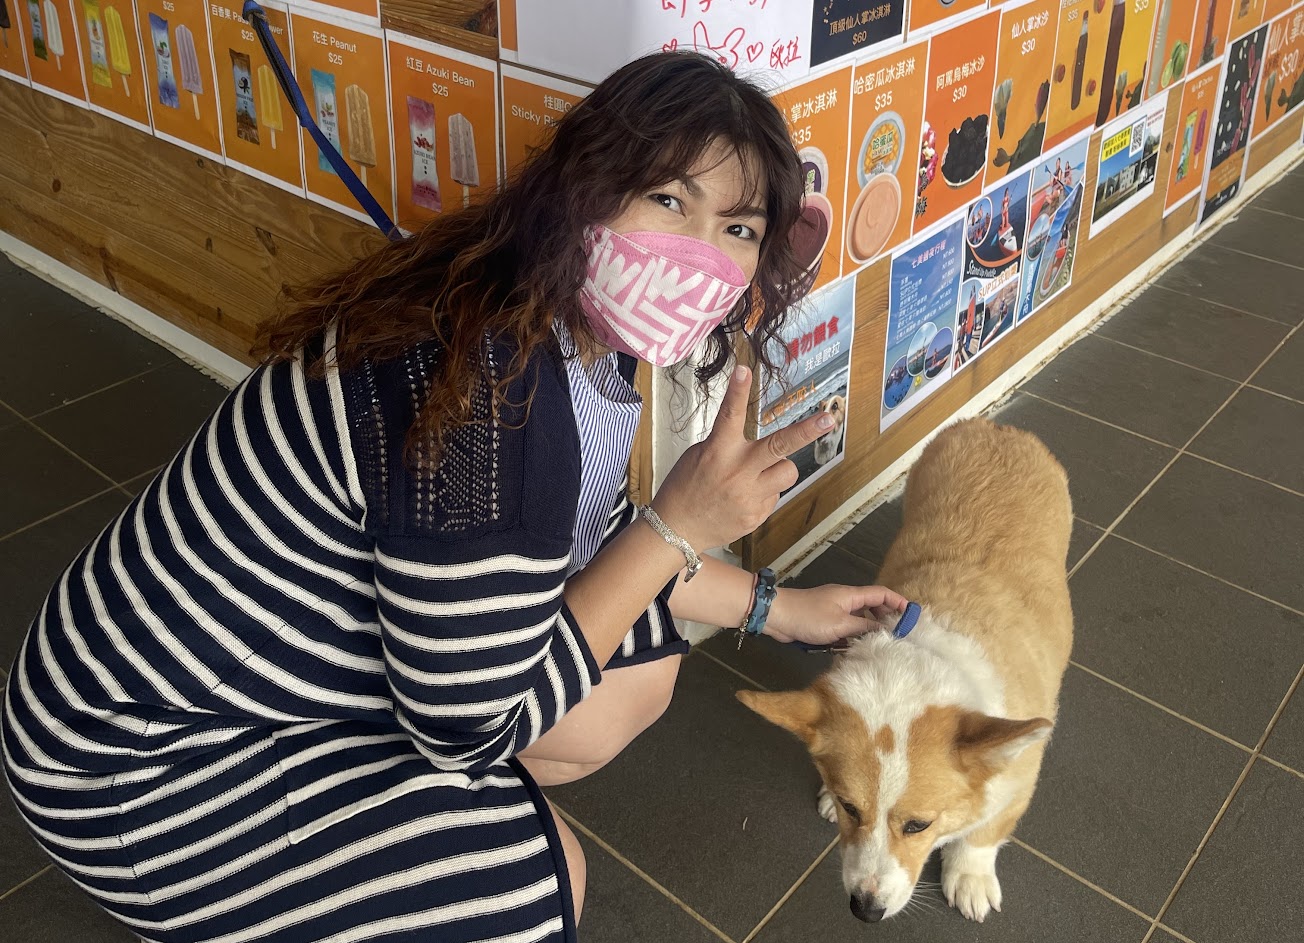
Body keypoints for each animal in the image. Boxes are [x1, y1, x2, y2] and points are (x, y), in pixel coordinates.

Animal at [739, 419, 1073, 924]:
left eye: (919, 825)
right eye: (850, 807)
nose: (865, 911)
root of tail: (995, 427)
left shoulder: (1018, 782)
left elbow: (983, 833)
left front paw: (970, 877)